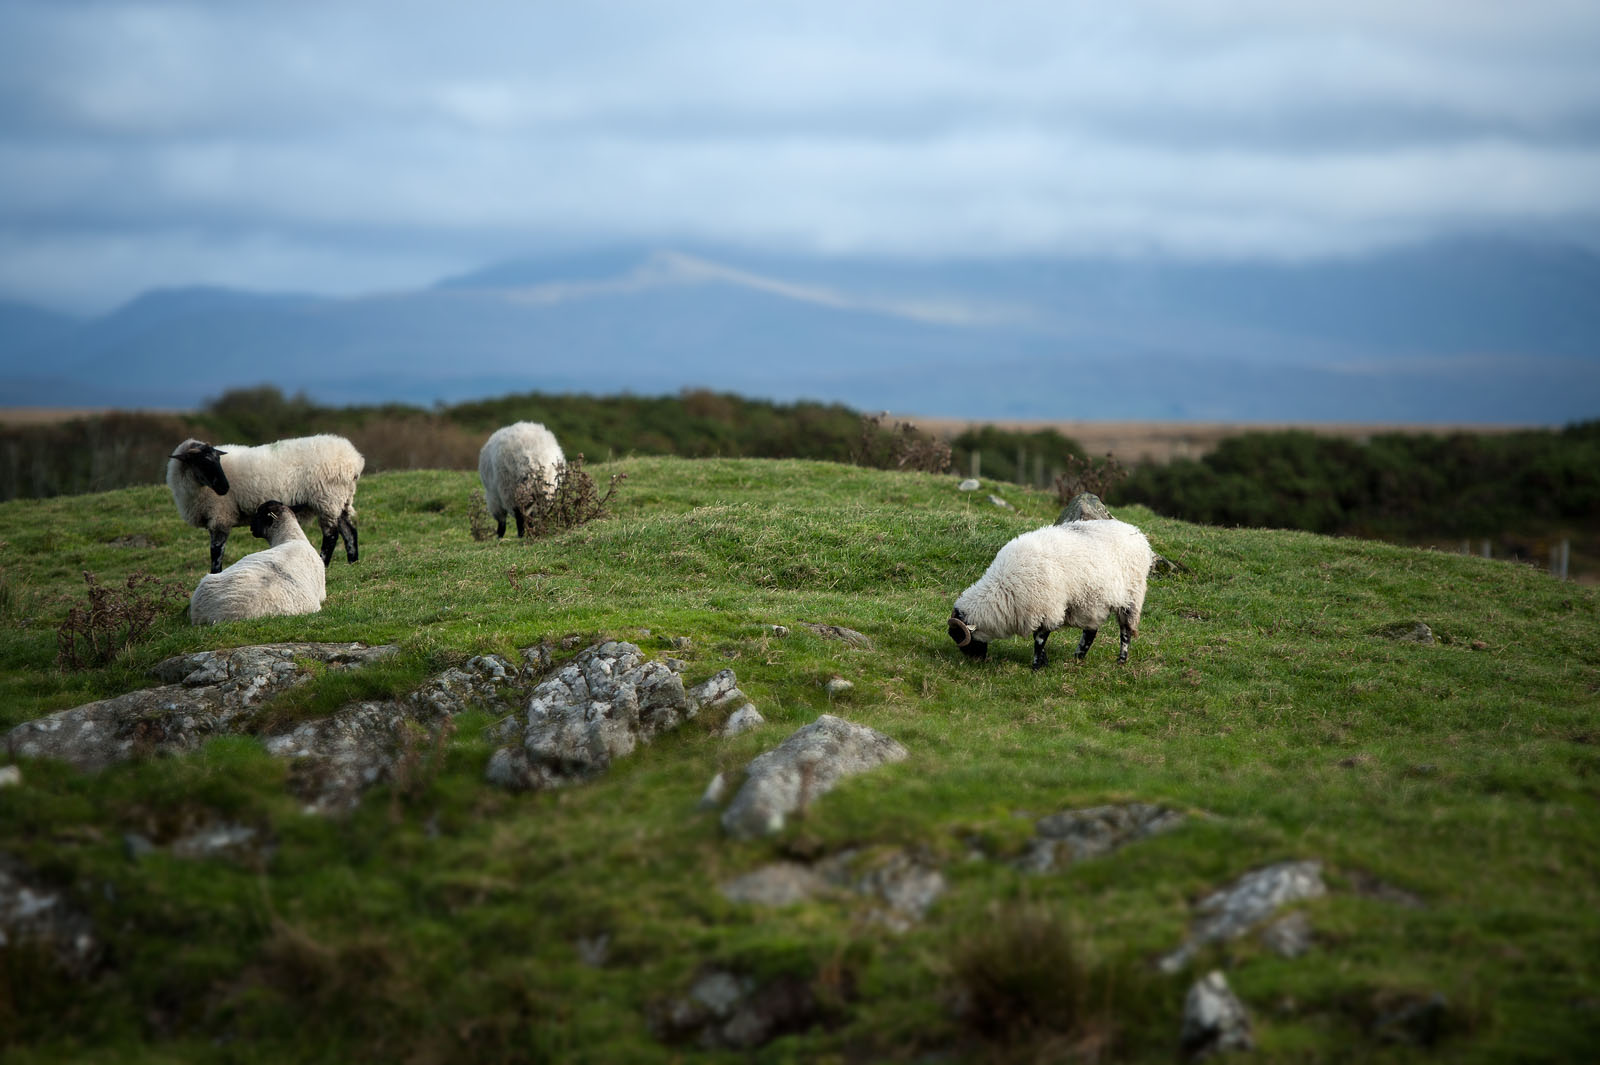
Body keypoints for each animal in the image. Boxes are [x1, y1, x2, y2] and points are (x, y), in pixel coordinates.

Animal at [168, 428, 363, 569]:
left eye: (217, 460)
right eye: (202, 462)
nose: (225, 488)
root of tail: (354, 460)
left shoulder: (220, 516)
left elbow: (216, 552)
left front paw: (215, 573)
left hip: (327, 499)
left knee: (331, 535)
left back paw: (324, 563)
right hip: (340, 501)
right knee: (349, 532)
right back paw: (353, 563)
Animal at [940, 514, 1158, 665]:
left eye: (961, 637)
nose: (975, 660)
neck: (1003, 587)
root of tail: (1138, 534)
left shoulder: (1047, 607)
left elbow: (1039, 638)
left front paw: (1037, 664)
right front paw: (1044, 661)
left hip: (1131, 598)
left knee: (1125, 632)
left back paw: (1121, 660)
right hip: (1093, 602)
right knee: (1091, 631)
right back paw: (1078, 656)